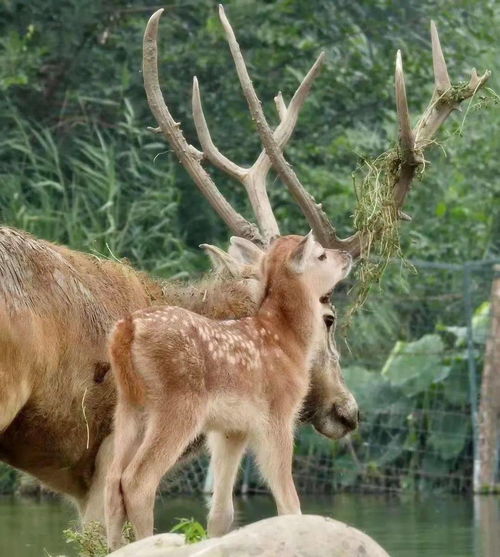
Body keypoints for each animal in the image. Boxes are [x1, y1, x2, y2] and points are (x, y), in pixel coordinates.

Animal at [104, 233, 352, 548]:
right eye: (321, 255)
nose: (346, 255)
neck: (286, 341)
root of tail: (127, 329)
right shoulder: (278, 413)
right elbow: (289, 501)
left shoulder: (231, 428)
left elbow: (222, 513)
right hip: (178, 405)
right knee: (137, 480)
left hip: (128, 405)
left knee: (112, 480)